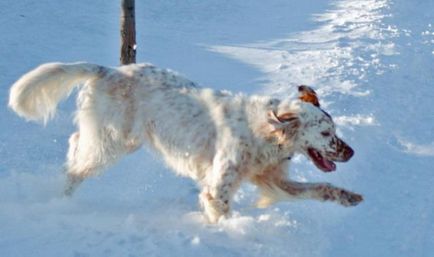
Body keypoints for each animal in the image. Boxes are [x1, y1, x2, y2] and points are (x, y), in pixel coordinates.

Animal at [9, 62, 362, 222]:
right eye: (326, 134)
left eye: (335, 131)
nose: (351, 152)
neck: (265, 134)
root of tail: (109, 70)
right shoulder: (217, 190)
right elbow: (221, 211)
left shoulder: (273, 180)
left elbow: (320, 188)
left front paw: (349, 197)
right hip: (112, 143)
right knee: (76, 168)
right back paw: (62, 198)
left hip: (118, 140)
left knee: (75, 144)